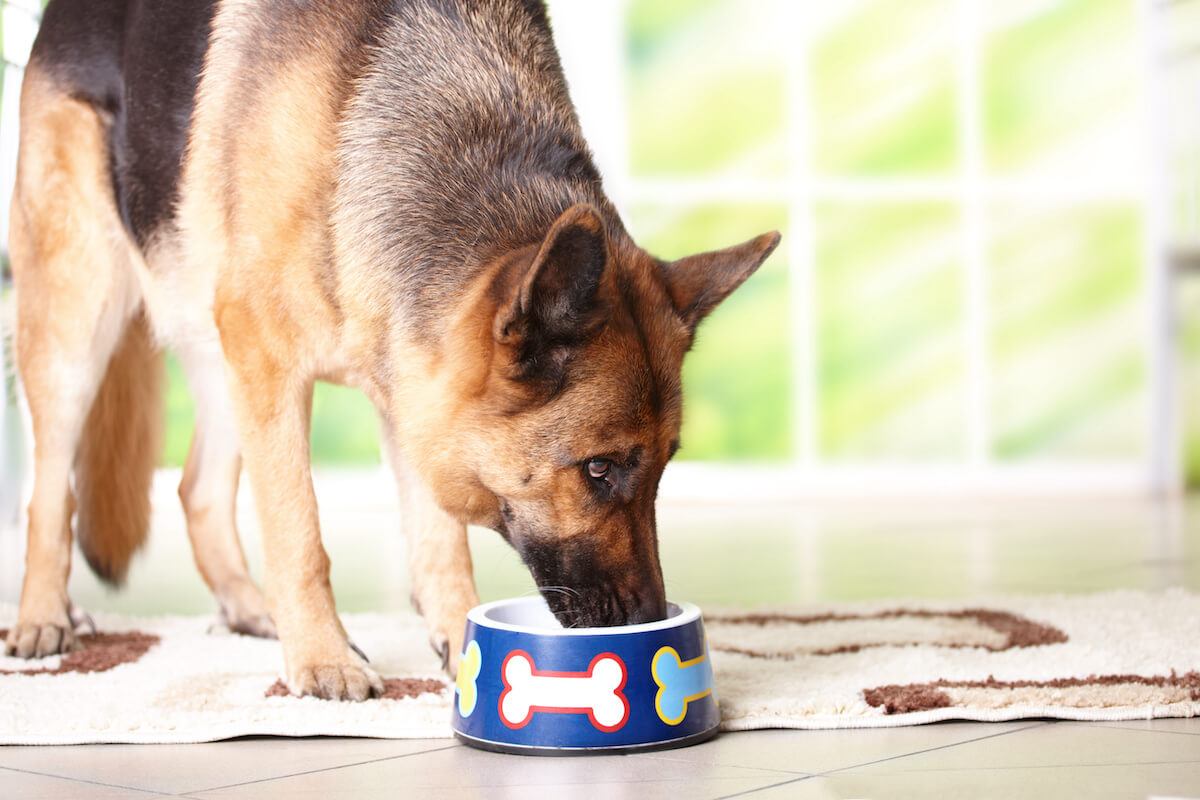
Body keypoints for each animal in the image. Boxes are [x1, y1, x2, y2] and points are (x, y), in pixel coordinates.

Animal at [7, 0, 777, 700]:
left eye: (664, 467)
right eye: (597, 469)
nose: (649, 619)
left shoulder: (412, 386)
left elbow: (439, 541)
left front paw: (459, 645)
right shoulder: (275, 363)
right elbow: (298, 530)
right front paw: (322, 660)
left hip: (217, 356)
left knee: (195, 489)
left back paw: (251, 608)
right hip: (80, 324)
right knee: (48, 491)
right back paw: (44, 617)